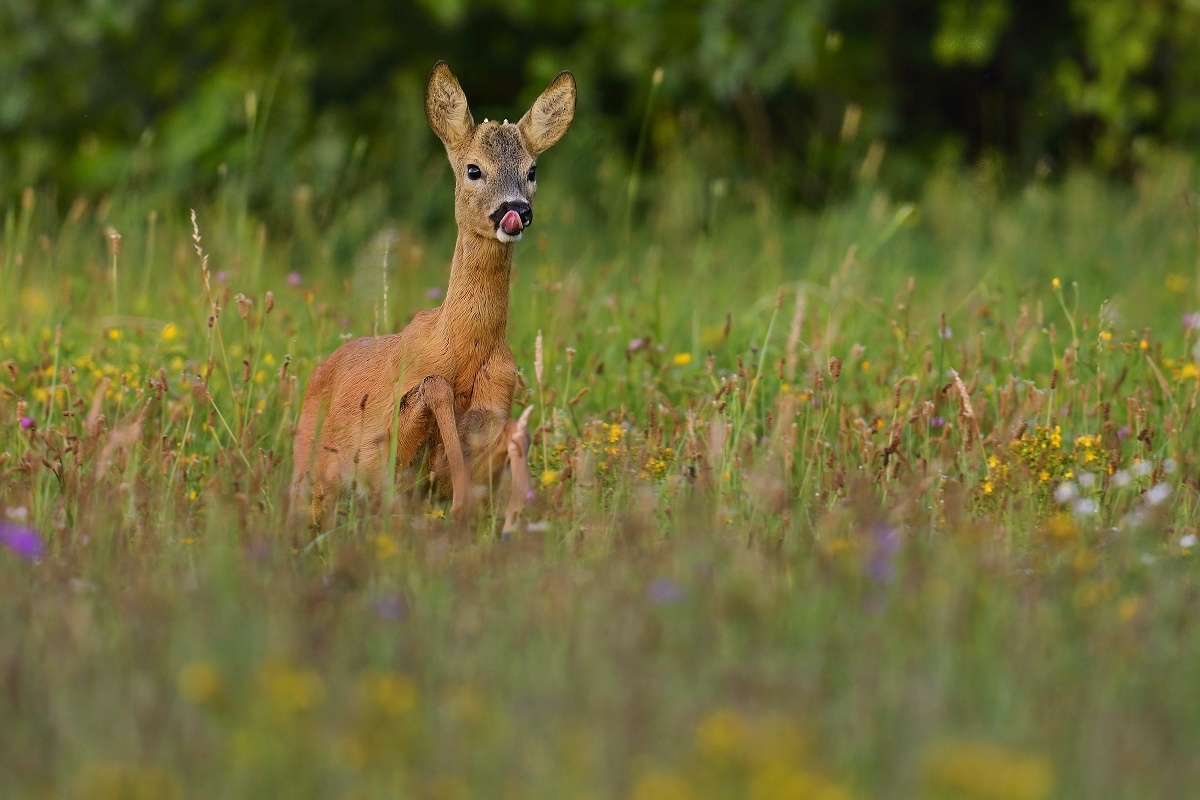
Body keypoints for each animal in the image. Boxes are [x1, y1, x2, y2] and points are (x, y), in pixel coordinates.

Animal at [288, 62, 573, 534]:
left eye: (532, 170)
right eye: (474, 169)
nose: (515, 210)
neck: (464, 346)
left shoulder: (494, 407)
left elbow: (514, 432)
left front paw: (511, 511)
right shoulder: (382, 440)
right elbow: (432, 390)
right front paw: (461, 507)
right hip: (308, 471)